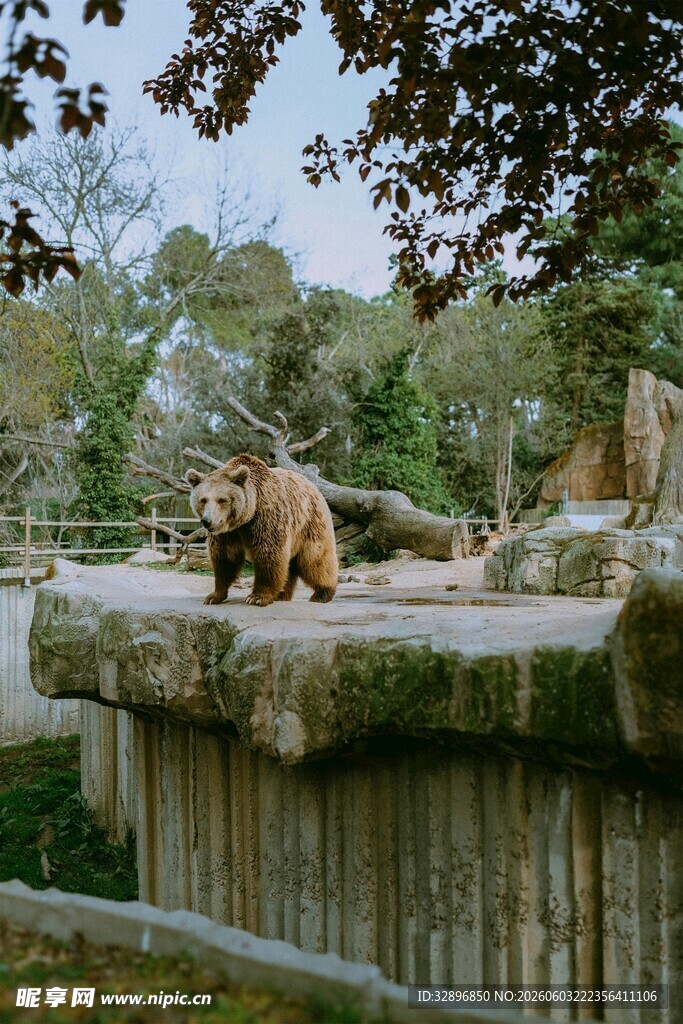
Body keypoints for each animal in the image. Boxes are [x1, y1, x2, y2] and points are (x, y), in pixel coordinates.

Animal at [186, 453, 338, 607]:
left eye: (222, 500)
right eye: (203, 500)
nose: (207, 520)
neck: (243, 520)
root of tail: (313, 486)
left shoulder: (265, 518)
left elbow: (268, 554)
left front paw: (257, 597)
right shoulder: (227, 534)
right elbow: (225, 558)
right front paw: (213, 596)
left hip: (310, 523)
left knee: (314, 558)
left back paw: (322, 593)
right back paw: (281, 594)